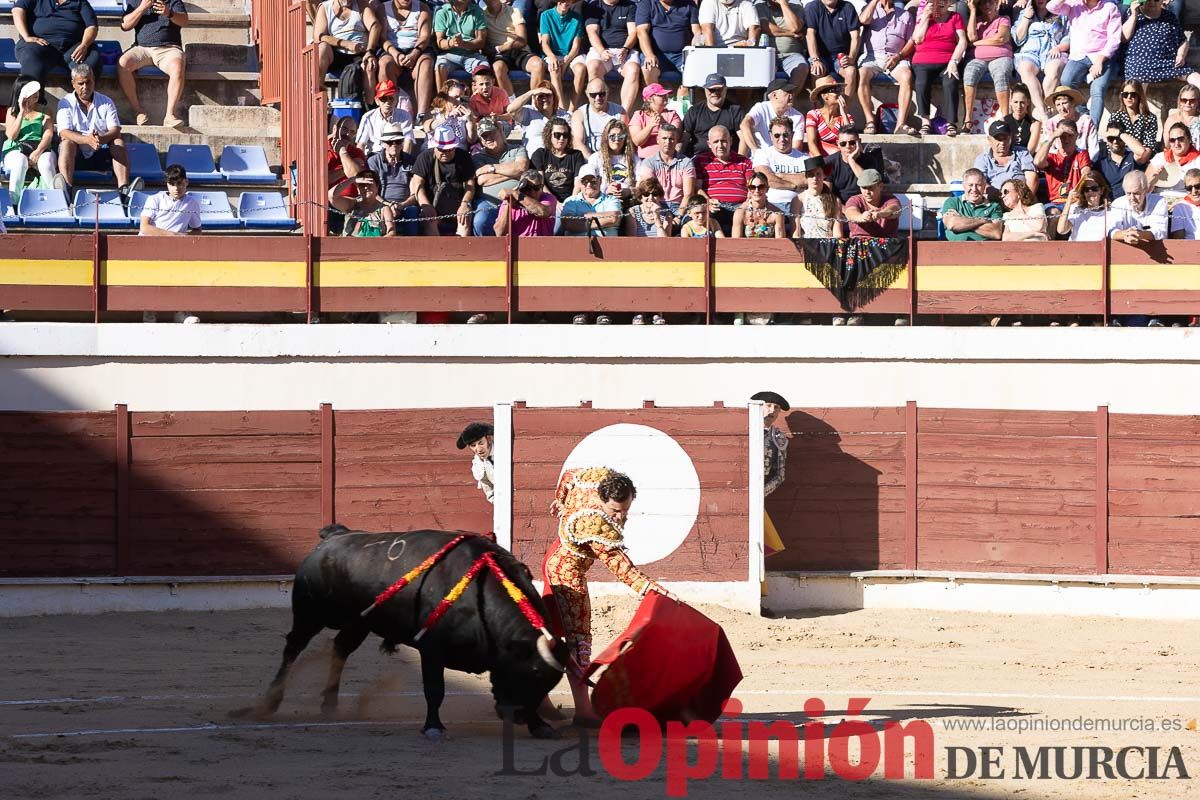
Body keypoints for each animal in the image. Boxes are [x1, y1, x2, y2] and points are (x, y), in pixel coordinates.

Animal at [238, 525, 571, 738]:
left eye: (547, 680)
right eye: (529, 672)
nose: (515, 716)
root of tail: (334, 536)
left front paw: (540, 725)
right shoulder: (432, 650)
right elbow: (434, 689)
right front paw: (433, 727)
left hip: (359, 623)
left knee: (340, 649)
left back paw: (330, 704)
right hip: (311, 614)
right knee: (293, 648)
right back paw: (269, 702)